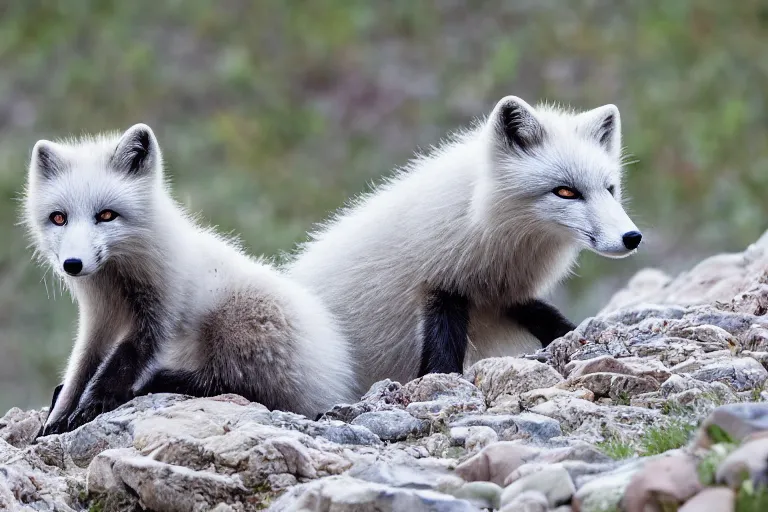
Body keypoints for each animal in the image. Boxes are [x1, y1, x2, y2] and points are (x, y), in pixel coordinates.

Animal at [24, 122, 356, 434]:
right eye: (59, 218)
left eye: (106, 215)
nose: (73, 264)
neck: (117, 282)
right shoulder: (97, 317)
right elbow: (80, 369)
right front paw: (57, 419)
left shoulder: (158, 316)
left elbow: (120, 365)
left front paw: (93, 405)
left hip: (235, 326)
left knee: (229, 383)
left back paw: (155, 384)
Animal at [286, 96, 640, 392]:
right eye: (565, 192)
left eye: (610, 189)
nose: (632, 238)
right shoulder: (441, 290)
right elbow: (441, 363)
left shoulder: (502, 296)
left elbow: (555, 322)